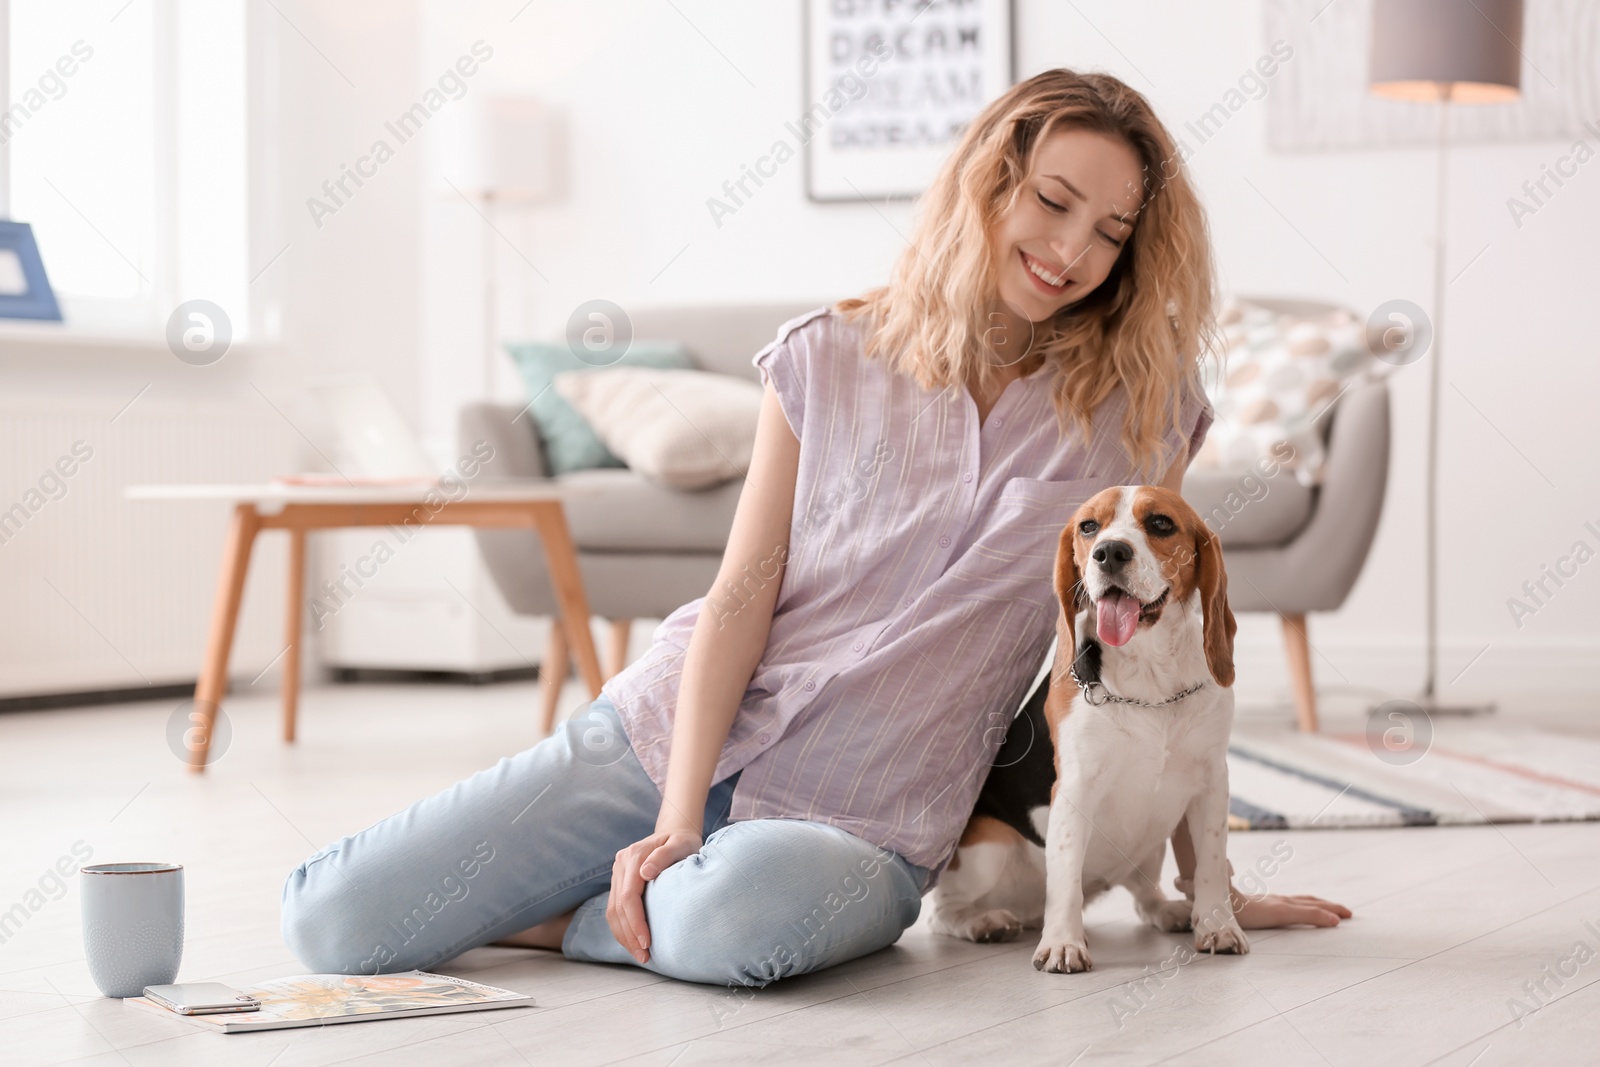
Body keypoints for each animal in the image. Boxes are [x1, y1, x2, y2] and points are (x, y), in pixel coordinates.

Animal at [928, 489, 1248, 972]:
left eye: (1160, 523)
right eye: (1088, 527)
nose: (1109, 552)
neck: (1150, 679)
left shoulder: (1212, 783)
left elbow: (1210, 864)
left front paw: (1217, 926)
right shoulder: (1075, 789)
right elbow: (1064, 879)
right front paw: (1062, 943)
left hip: (1148, 847)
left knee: (1143, 896)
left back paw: (1167, 909)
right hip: (988, 846)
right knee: (942, 913)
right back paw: (984, 922)